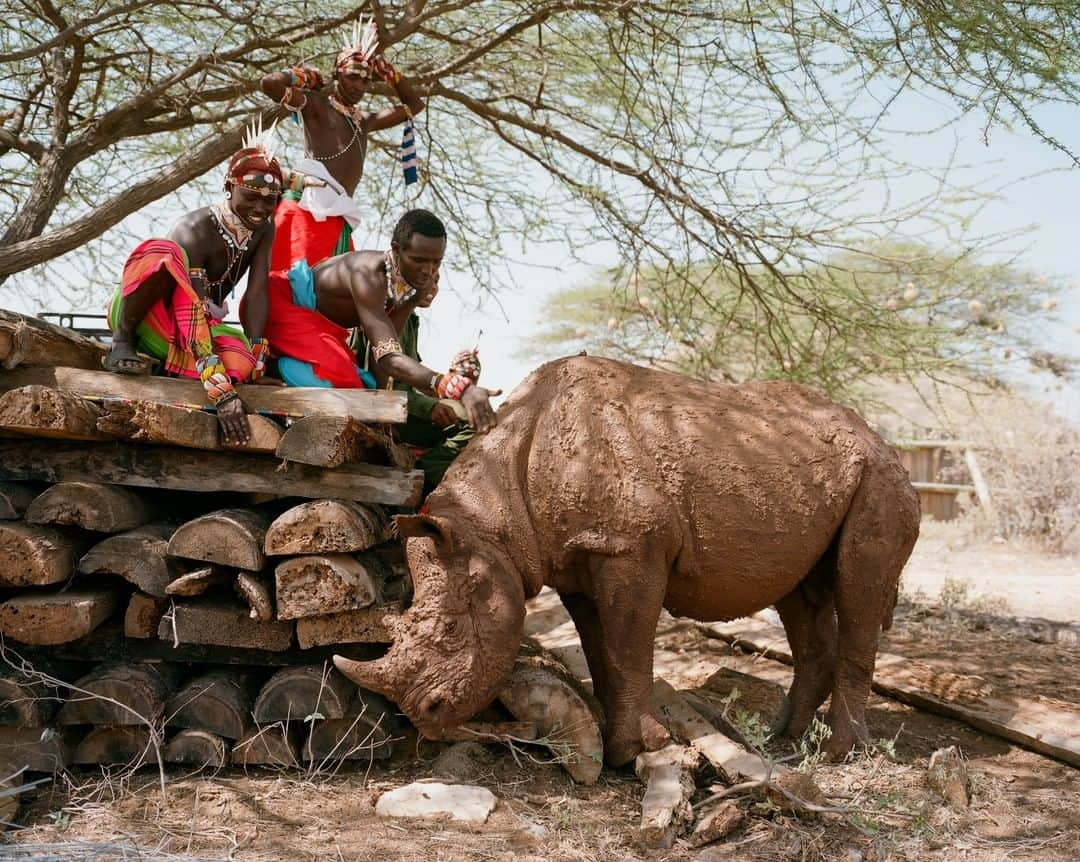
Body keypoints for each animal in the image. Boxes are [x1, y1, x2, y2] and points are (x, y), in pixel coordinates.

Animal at [334, 354, 920, 764]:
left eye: (452, 630)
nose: (424, 718)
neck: (491, 523)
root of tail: (879, 437)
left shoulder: (629, 549)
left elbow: (628, 647)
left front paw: (643, 748)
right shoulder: (576, 557)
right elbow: (602, 652)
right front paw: (621, 750)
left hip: (880, 478)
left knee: (858, 587)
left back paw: (838, 754)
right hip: (807, 473)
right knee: (802, 594)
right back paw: (785, 741)